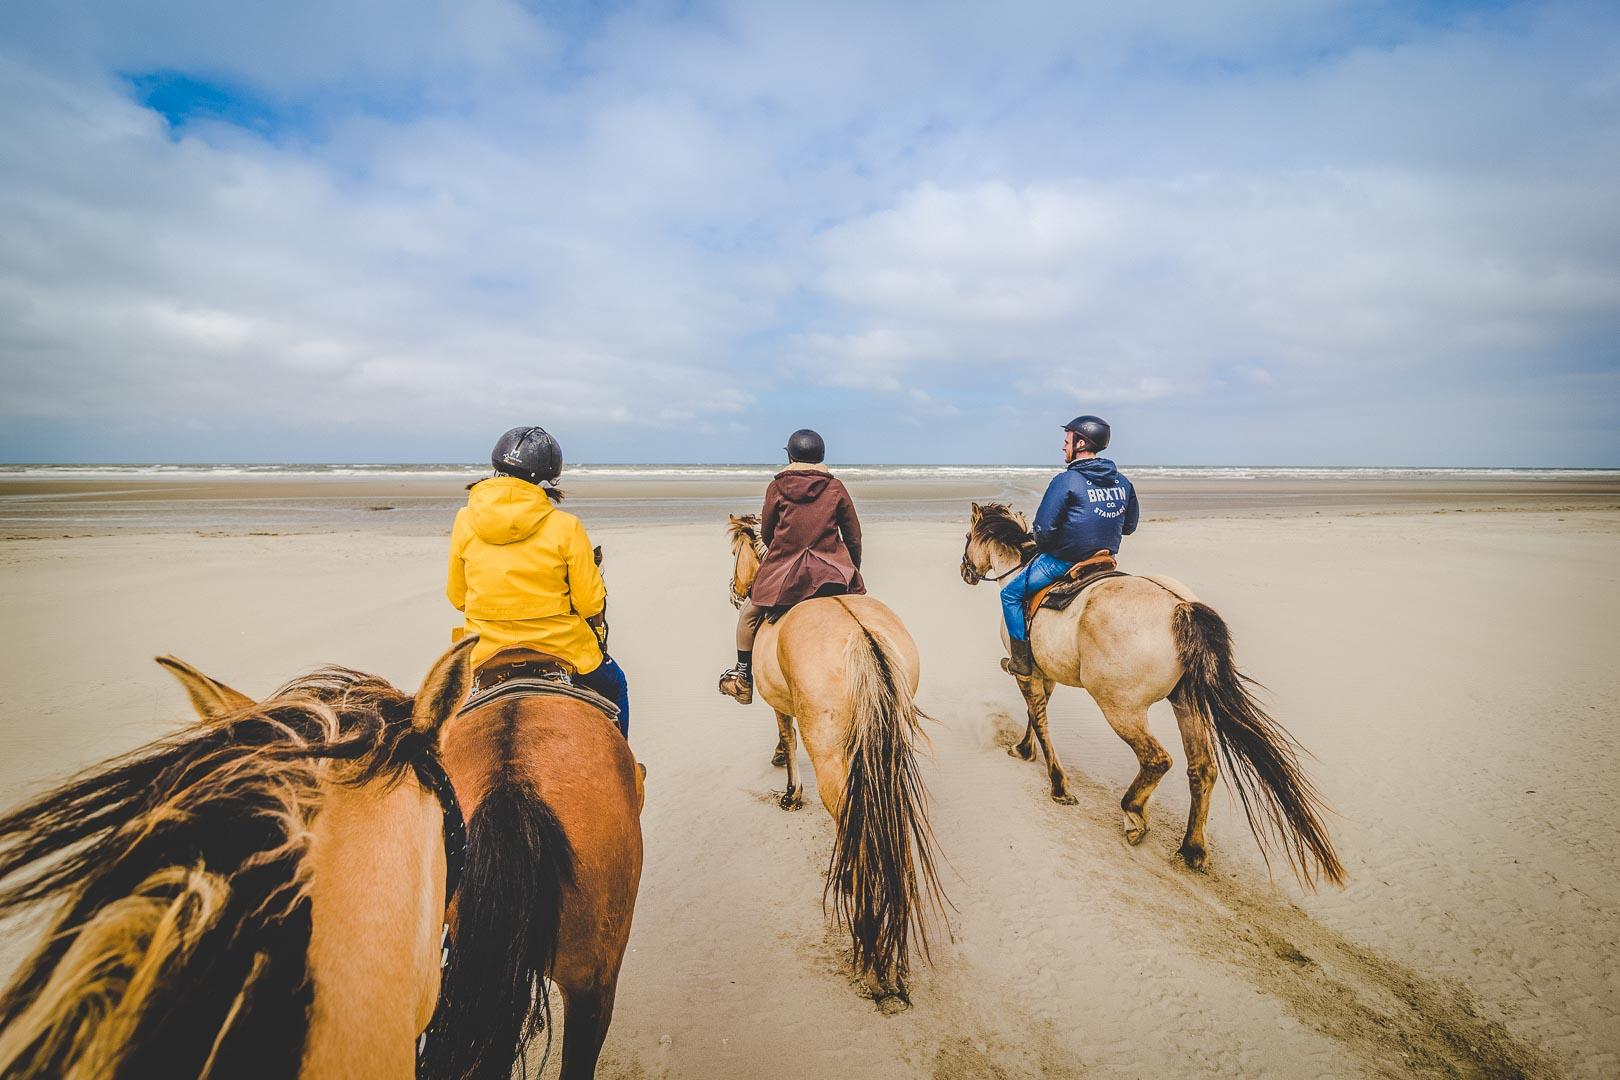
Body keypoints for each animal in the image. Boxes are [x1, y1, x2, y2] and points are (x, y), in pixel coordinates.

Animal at [725, 514, 946, 1003]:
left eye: (733, 554)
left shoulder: (781, 706)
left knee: (853, 821)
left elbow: (786, 739)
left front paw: (790, 792)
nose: (734, 591)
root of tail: (862, 638)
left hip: (831, 754)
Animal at [952, 501, 1347, 893]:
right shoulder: (1044, 674)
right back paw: (1192, 849)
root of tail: (1179, 607)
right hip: (1186, 704)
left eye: (968, 535)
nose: (965, 571)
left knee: (1157, 760)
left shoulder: (1028, 671)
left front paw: (1056, 782)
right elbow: (1038, 714)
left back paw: (1134, 814)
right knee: (1202, 768)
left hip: (1120, 708)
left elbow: (1038, 717)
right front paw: (1026, 750)